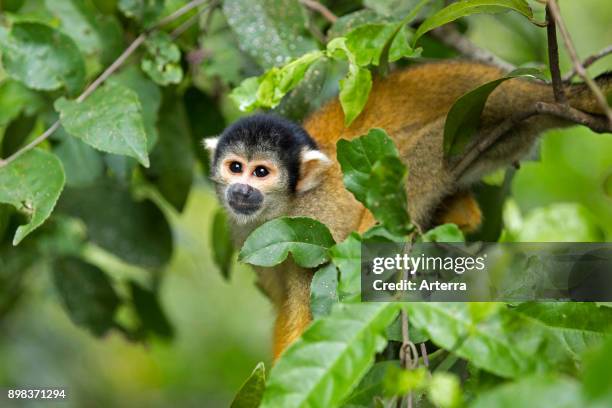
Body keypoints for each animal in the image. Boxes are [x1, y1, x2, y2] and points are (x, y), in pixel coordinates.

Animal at [207, 61, 612, 360]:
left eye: (261, 172)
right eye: (235, 167)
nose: (242, 189)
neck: (283, 206)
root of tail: (529, 90)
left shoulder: (313, 220)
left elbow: (312, 302)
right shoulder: (249, 236)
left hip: (478, 126)